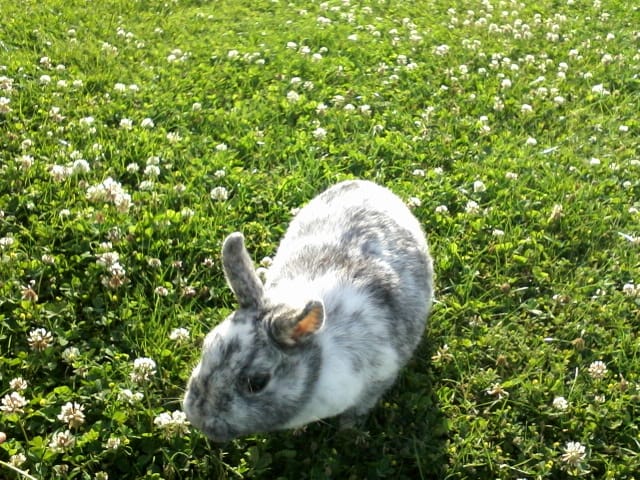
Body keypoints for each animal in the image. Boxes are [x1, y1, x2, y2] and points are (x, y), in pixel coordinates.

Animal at [183, 179, 433, 442]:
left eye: (256, 383)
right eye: (206, 347)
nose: (197, 418)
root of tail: (366, 184)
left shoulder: (379, 379)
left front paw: (348, 431)